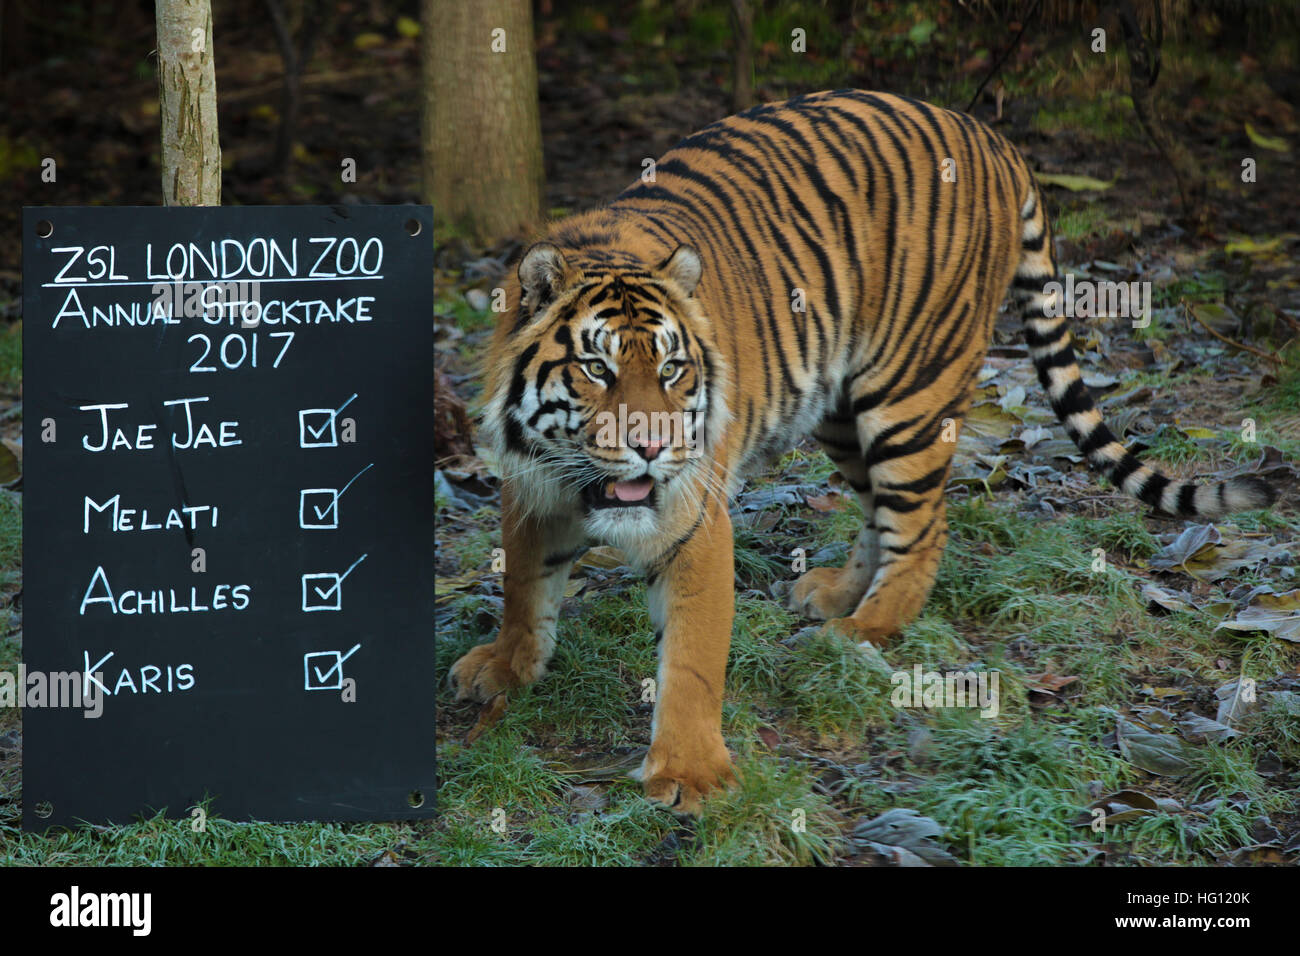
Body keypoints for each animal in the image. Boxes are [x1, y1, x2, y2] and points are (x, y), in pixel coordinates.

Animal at [448, 89, 1275, 814]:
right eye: (598, 369)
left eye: (674, 369)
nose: (654, 448)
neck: (576, 476)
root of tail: (992, 137)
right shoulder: (531, 484)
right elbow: (524, 583)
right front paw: (505, 664)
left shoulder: (695, 516)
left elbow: (690, 659)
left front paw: (689, 774)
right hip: (842, 411)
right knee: (881, 512)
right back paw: (837, 595)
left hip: (909, 392)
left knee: (924, 525)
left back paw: (861, 630)